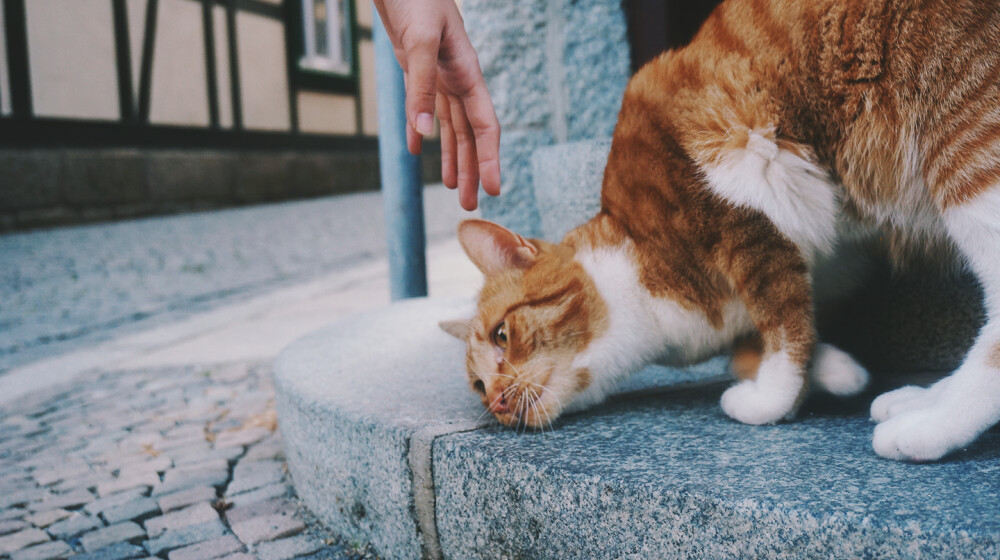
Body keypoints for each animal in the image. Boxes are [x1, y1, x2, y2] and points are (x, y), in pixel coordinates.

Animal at [442, 0, 1000, 464]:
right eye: (476, 386)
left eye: (502, 335)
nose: (497, 401)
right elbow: (779, 337)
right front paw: (837, 372)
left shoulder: (745, 203)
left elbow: (783, 331)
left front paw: (769, 399)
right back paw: (917, 399)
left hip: (967, 150)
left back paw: (928, 426)